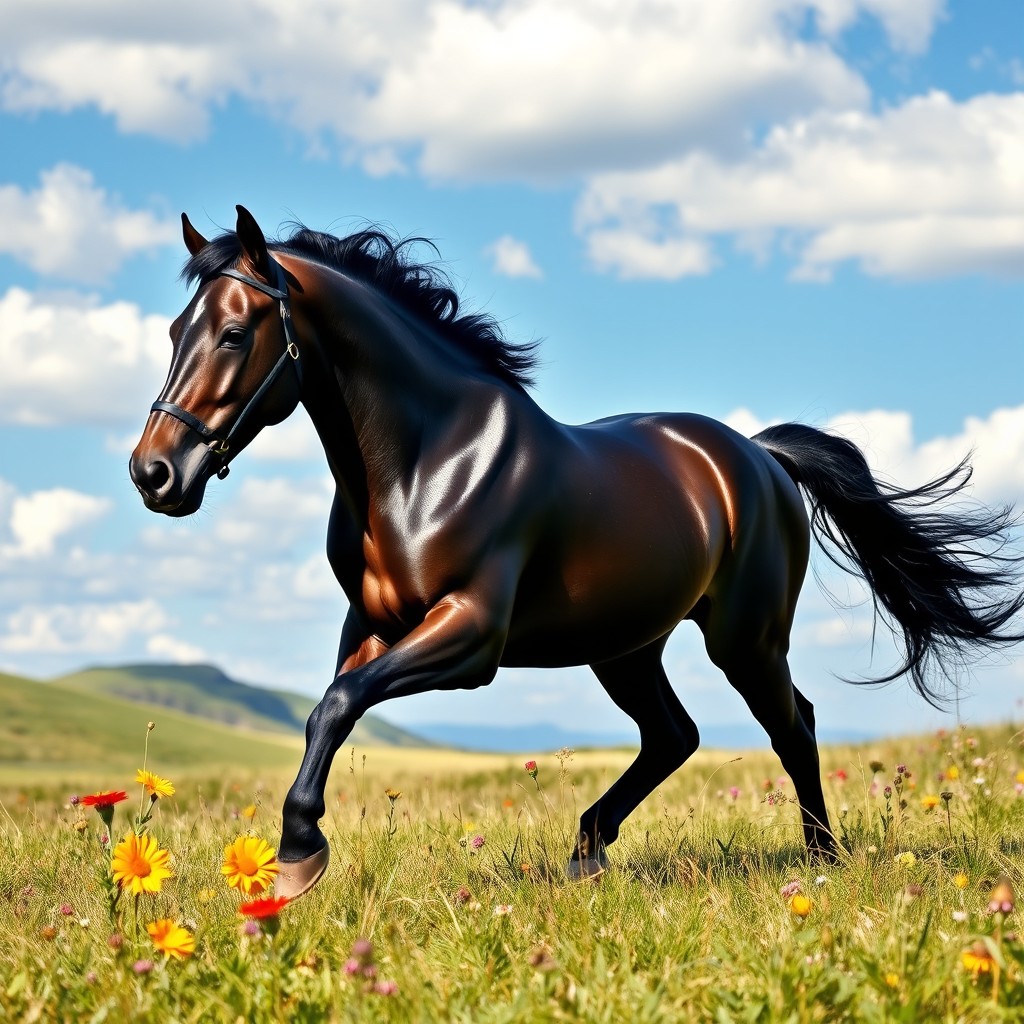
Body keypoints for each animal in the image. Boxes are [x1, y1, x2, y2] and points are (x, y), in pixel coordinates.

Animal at [130, 206, 1024, 898]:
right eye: (173, 331)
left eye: (235, 333)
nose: (154, 472)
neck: (425, 463)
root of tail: (760, 455)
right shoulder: (374, 625)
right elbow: (329, 709)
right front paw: (294, 854)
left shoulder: (470, 635)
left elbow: (336, 706)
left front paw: (297, 857)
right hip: (624, 646)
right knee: (674, 735)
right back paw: (588, 849)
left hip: (745, 639)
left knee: (790, 723)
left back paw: (821, 859)